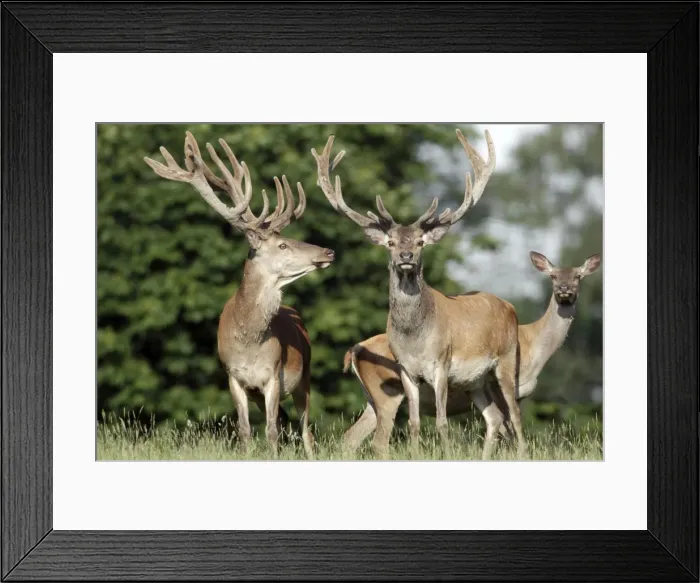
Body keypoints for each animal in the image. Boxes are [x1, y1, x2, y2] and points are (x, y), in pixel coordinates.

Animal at [144, 131, 335, 458]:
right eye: (282, 245)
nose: (328, 251)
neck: (249, 342)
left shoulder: (273, 374)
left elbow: (270, 431)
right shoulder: (234, 376)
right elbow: (246, 431)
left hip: (305, 376)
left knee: (305, 430)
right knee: (289, 424)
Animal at [312, 129, 525, 460]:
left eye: (421, 242)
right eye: (390, 242)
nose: (407, 256)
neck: (415, 339)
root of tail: (509, 306)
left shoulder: (441, 364)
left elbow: (441, 422)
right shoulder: (406, 371)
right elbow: (413, 423)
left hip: (506, 359)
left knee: (514, 414)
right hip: (474, 381)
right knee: (494, 417)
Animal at [341, 251, 602, 454]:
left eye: (578, 276)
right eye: (553, 276)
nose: (565, 291)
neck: (533, 348)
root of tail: (353, 350)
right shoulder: (497, 386)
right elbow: (507, 428)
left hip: (373, 398)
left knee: (351, 437)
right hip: (389, 394)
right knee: (378, 441)